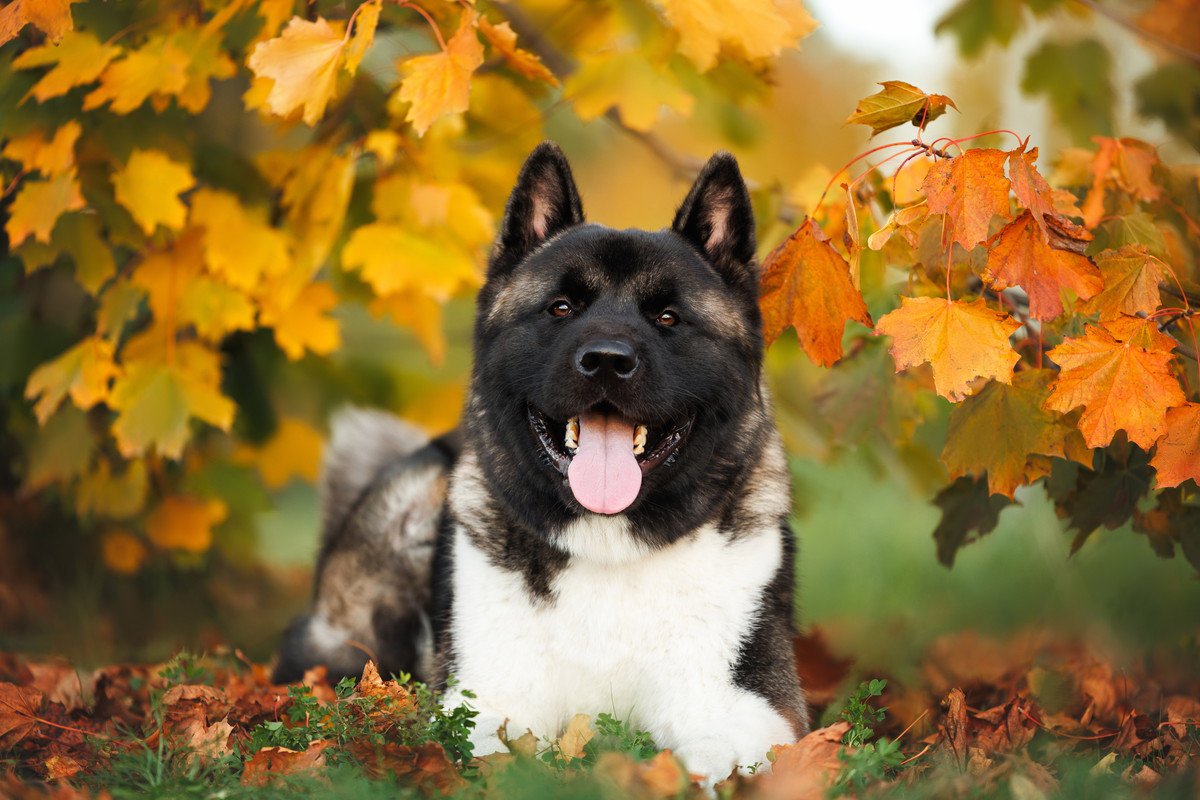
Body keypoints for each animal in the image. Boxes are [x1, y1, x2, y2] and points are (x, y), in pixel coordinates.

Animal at [276, 140, 811, 777]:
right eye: (561, 308)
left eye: (667, 317)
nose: (606, 360)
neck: (608, 547)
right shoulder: (486, 701)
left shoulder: (745, 705)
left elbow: (716, 761)